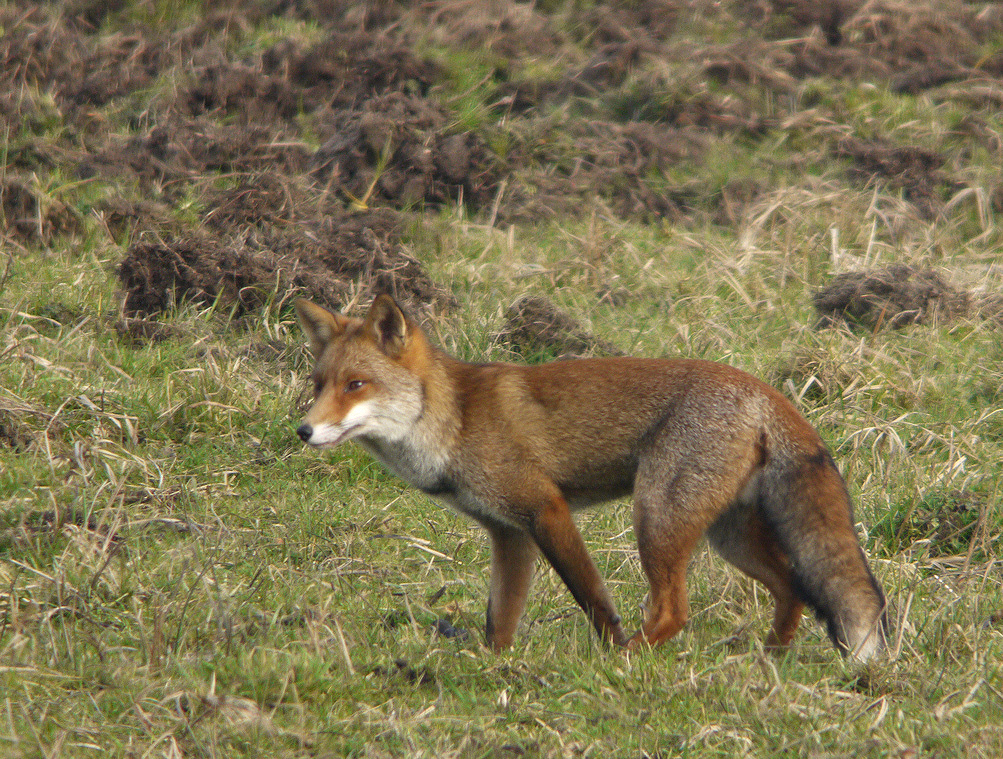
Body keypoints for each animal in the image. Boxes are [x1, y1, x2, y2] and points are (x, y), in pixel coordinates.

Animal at [294, 294, 887, 660]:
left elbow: (594, 600)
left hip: (657, 519)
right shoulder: (508, 533)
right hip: (728, 535)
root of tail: (763, 389)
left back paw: (630, 660)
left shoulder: (544, 509)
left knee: (674, 610)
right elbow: (500, 618)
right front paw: (494, 666)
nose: (303, 430)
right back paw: (769, 661)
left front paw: (605, 652)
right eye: (319, 384)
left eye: (356, 384)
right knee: (793, 587)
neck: (455, 420)